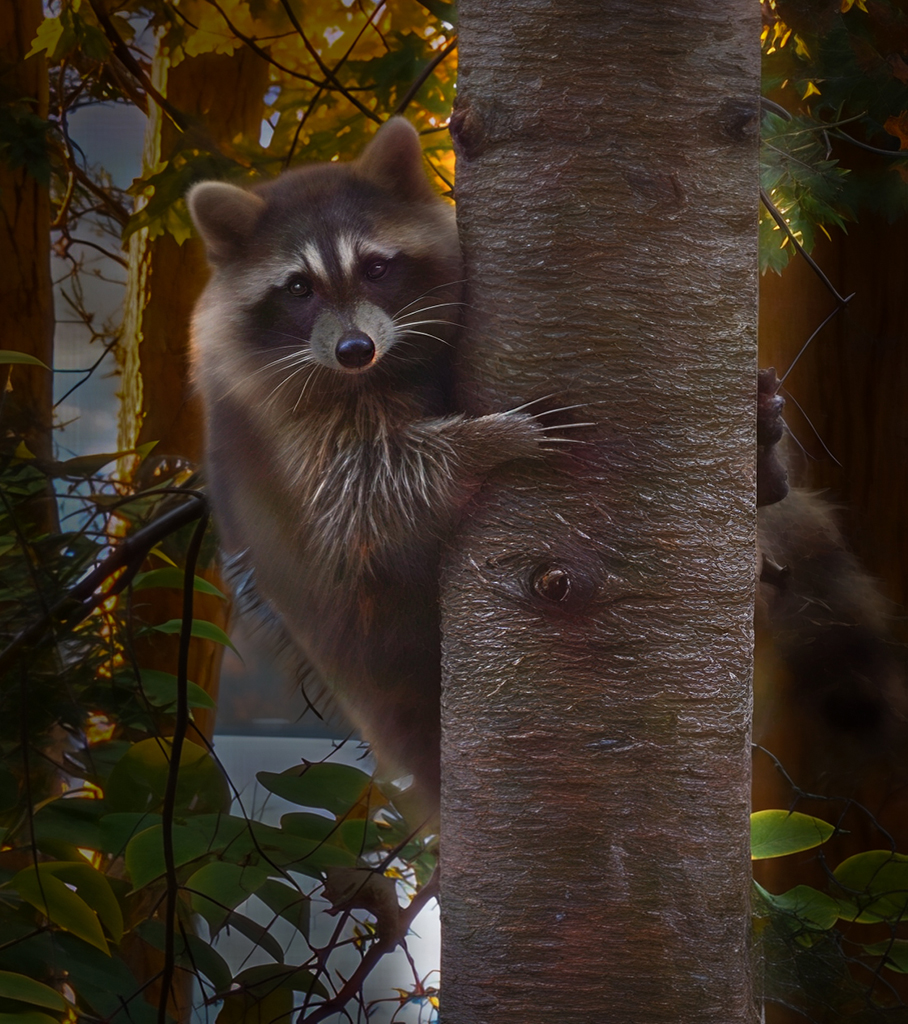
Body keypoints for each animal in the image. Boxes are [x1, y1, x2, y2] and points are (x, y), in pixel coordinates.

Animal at [188, 118, 553, 817]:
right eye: (298, 287)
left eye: (376, 268)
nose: (355, 349)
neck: (372, 374)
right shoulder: (281, 427)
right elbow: (365, 502)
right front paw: (487, 441)